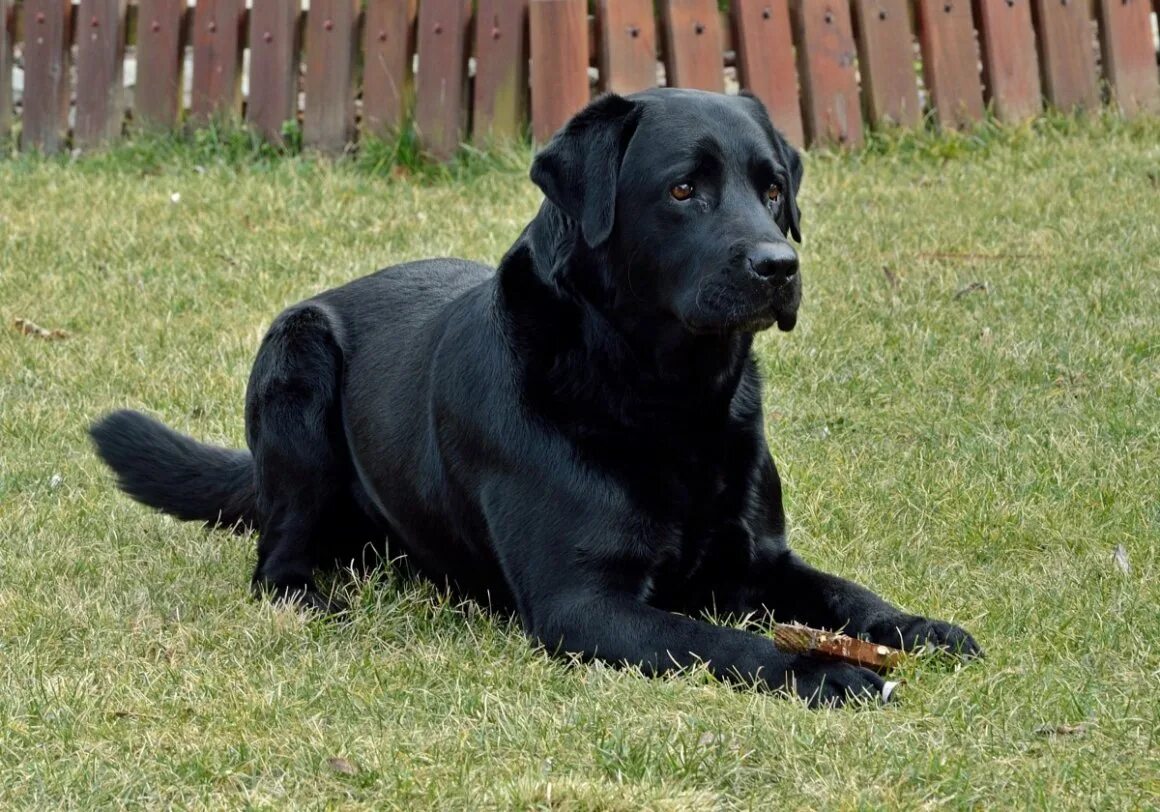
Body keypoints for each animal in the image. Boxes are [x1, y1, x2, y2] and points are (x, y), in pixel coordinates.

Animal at [90, 90, 979, 705]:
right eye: (683, 190)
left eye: (770, 190)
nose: (779, 266)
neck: (668, 399)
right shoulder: (582, 604)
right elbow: (720, 643)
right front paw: (826, 674)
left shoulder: (760, 560)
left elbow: (848, 595)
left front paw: (917, 628)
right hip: (295, 364)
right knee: (275, 562)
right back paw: (316, 596)